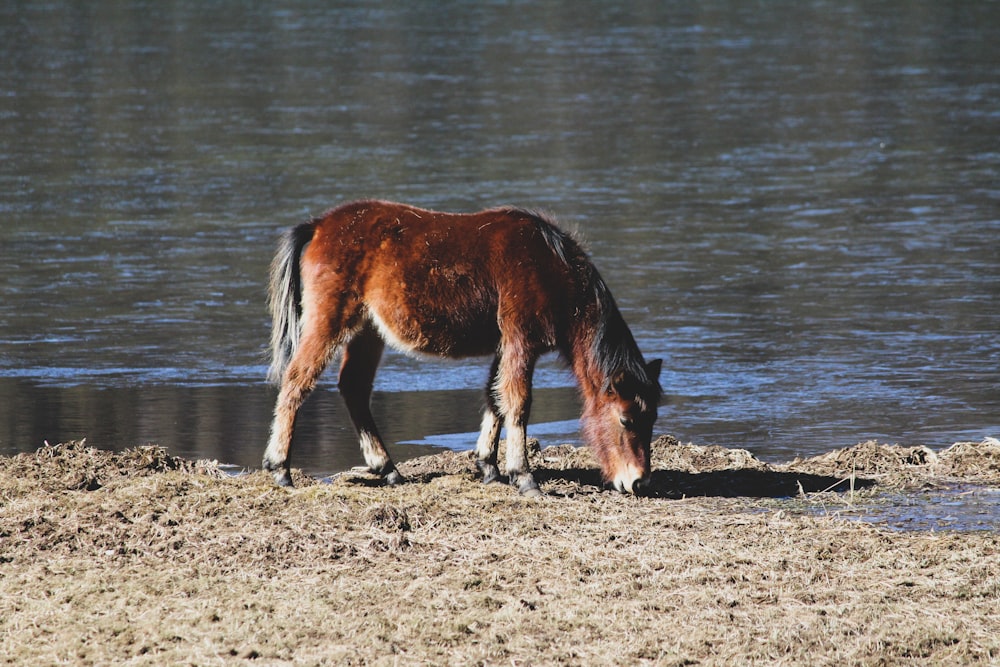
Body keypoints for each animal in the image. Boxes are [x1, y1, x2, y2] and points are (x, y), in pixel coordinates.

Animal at [262, 201, 660, 498]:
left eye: (652, 418)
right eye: (626, 419)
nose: (639, 482)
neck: (550, 265)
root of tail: (318, 226)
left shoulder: (505, 346)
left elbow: (495, 398)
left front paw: (489, 467)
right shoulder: (521, 342)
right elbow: (518, 402)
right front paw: (524, 477)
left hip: (368, 331)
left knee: (354, 388)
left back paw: (388, 469)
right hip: (329, 322)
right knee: (297, 381)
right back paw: (281, 469)